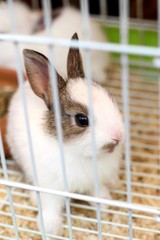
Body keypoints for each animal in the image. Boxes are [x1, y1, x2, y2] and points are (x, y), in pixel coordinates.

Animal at [6, 32, 124, 239]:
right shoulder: (50, 187)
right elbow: (51, 208)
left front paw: (104, 203)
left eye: (109, 97)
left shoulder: (93, 181)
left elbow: (97, 192)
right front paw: (50, 229)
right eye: (82, 119)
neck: (78, 153)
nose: (117, 137)